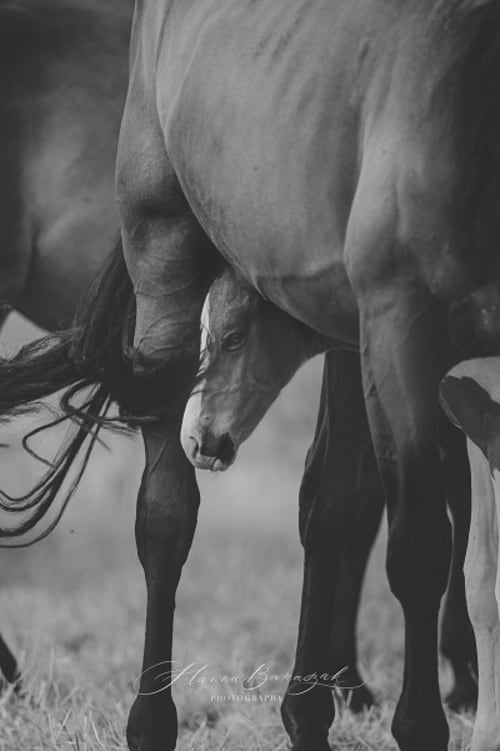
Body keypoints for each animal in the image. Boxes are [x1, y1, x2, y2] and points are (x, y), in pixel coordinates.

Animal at [0, 1, 496, 750]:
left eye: (233, 337)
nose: (206, 437)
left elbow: (374, 504)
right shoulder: (392, 334)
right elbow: (388, 522)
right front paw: (400, 702)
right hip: (163, 262)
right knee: (166, 515)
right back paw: (145, 718)